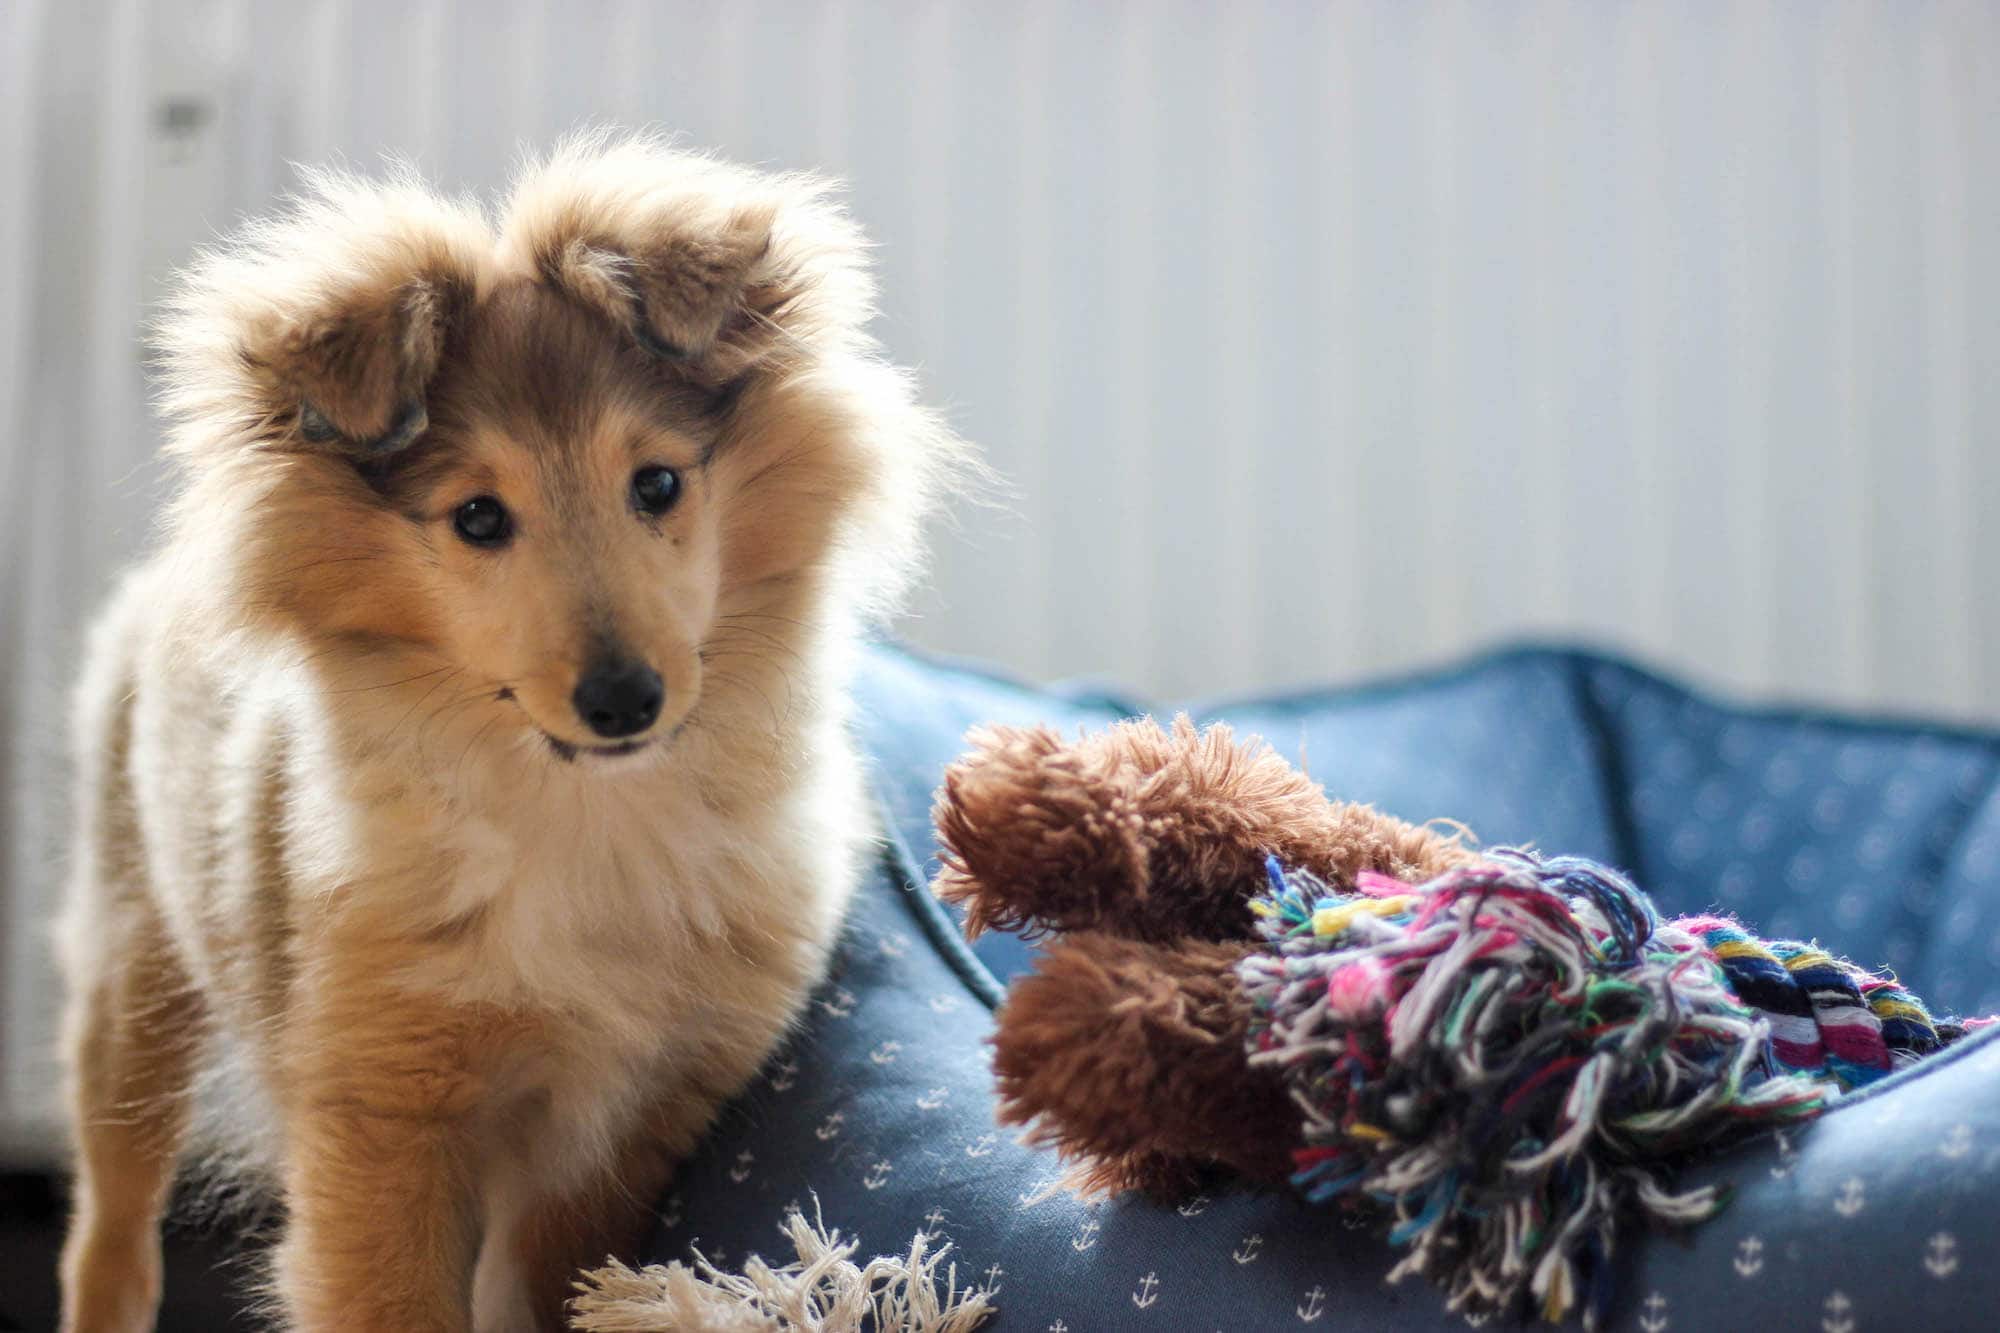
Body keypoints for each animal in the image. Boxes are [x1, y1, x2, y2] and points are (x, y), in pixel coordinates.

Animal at [58, 135, 964, 1328]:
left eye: (657, 482)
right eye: (479, 517)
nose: (623, 700)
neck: (583, 815)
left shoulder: (621, 1128)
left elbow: (540, 1292)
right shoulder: (381, 1113)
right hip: (134, 962)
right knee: (112, 1215)